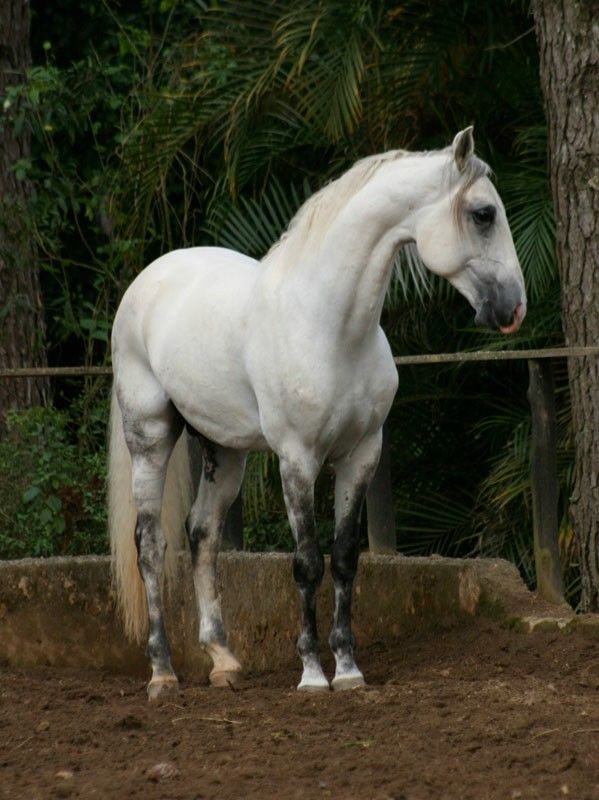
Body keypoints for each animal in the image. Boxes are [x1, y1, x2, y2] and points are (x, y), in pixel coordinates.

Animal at [108, 128, 524, 696]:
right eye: (484, 214)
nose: (513, 310)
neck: (330, 327)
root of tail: (148, 279)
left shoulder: (361, 455)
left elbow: (345, 557)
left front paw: (347, 669)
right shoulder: (298, 459)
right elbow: (306, 562)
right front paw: (310, 674)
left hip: (225, 451)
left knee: (202, 534)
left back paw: (223, 661)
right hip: (149, 436)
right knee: (149, 544)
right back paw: (163, 674)